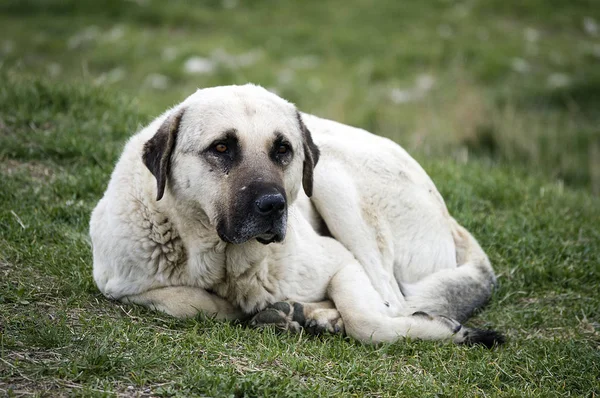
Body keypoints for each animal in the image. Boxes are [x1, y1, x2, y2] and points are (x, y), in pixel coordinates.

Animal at [88, 84, 502, 348]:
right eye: (221, 148)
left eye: (283, 150)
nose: (273, 205)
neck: (224, 260)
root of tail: (449, 218)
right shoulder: (116, 281)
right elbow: (190, 303)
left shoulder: (340, 260)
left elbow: (369, 321)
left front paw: (454, 332)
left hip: (332, 178)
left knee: (392, 300)